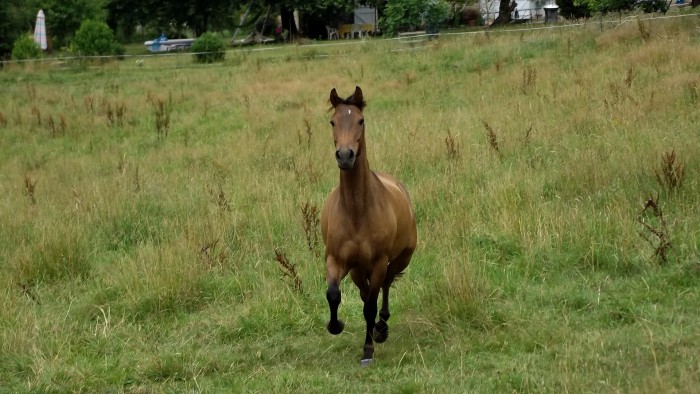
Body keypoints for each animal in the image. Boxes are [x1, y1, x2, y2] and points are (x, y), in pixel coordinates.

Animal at [322, 86, 416, 366]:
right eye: (333, 122)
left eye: (361, 121)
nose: (345, 156)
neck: (356, 212)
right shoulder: (336, 260)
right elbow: (334, 294)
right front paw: (336, 325)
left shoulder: (377, 262)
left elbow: (371, 305)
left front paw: (368, 350)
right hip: (356, 269)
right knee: (367, 293)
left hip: (399, 259)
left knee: (384, 286)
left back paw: (381, 327)